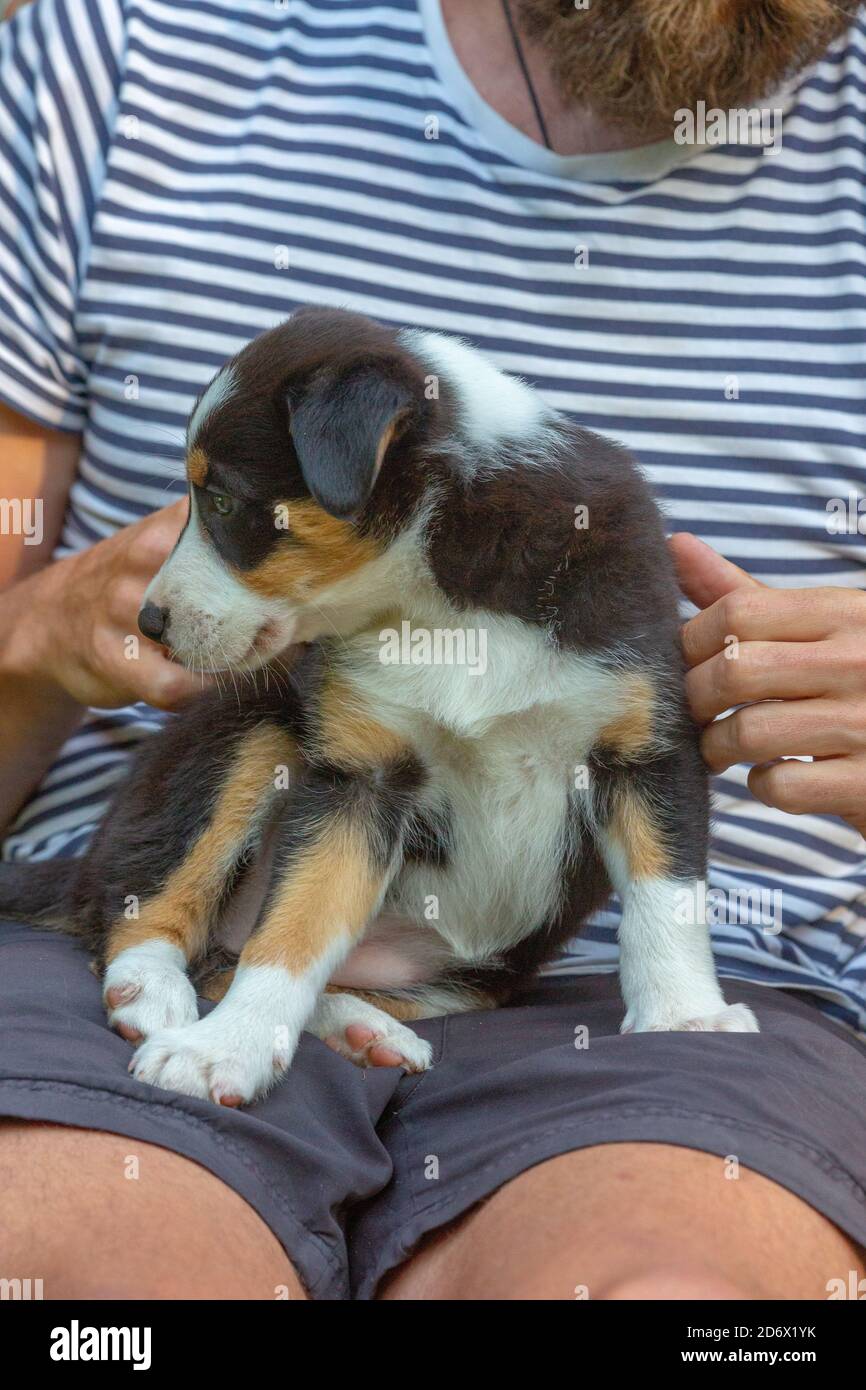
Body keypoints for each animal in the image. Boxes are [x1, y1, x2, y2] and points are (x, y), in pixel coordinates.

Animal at [0, 307, 756, 1106]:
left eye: (225, 502)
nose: (148, 623)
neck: (446, 600)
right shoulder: (360, 777)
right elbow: (291, 927)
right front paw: (222, 1054)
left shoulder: (644, 746)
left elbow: (665, 898)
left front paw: (685, 1016)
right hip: (248, 728)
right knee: (143, 909)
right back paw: (152, 997)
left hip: (465, 975)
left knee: (230, 962)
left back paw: (367, 1031)